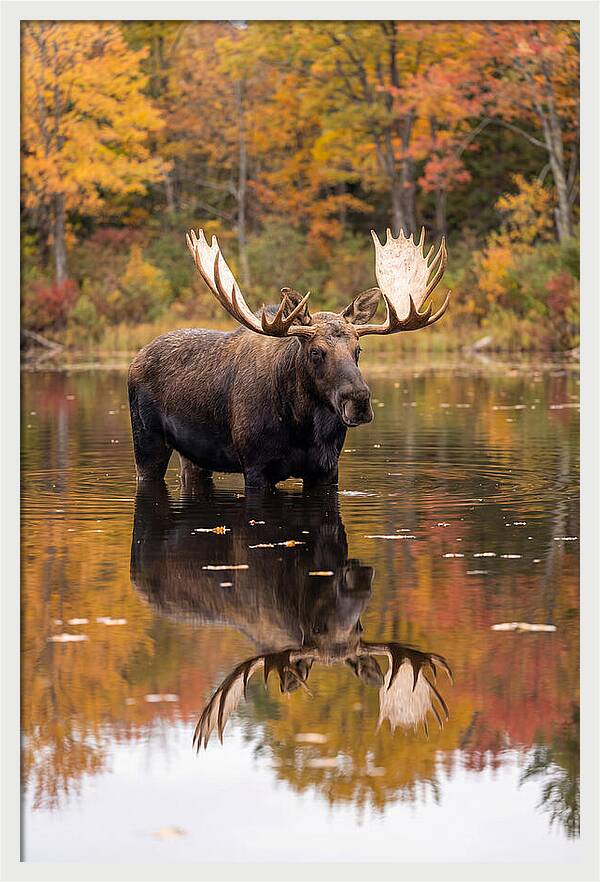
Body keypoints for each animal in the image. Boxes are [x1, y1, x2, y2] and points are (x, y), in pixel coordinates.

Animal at [128, 228, 449, 490]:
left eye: (358, 350)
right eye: (316, 351)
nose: (358, 401)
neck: (302, 426)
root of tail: (137, 357)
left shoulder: (327, 470)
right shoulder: (256, 467)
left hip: (194, 456)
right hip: (146, 441)